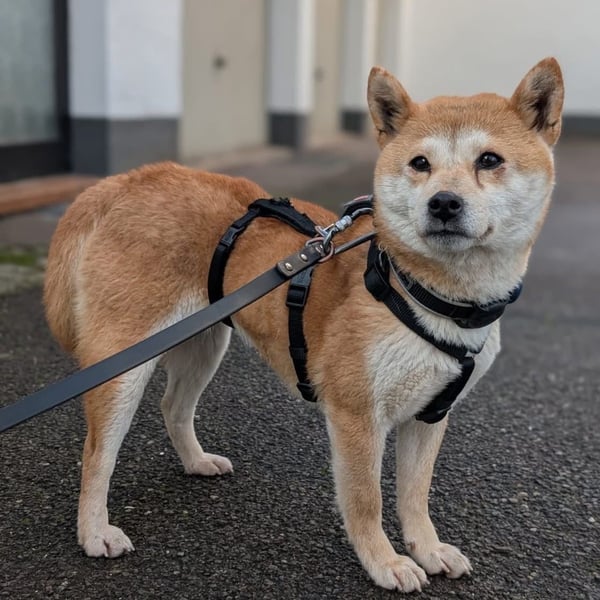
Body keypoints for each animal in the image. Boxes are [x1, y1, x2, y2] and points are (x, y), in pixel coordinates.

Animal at [43, 58, 563, 592]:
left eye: (490, 160)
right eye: (420, 163)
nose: (443, 203)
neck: (427, 295)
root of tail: (129, 180)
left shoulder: (429, 414)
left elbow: (415, 496)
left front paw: (429, 549)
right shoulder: (357, 415)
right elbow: (367, 500)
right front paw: (386, 561)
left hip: (205, 343)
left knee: (173, 407)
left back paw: (195, 461)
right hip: (123, 363)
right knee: (96, 454)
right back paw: (94, 531)